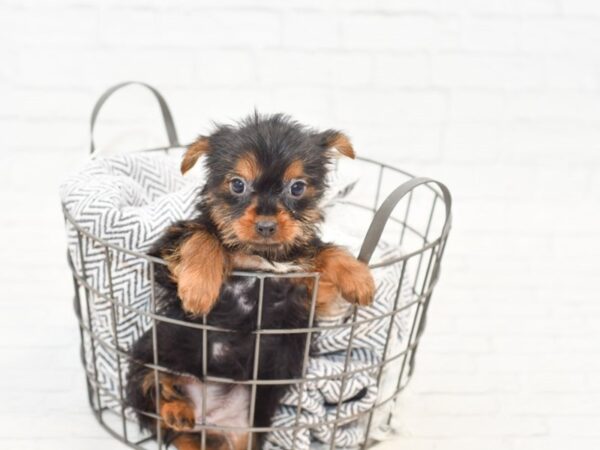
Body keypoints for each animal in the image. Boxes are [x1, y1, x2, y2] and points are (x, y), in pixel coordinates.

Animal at [126, 114, 376, 450]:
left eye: (297, 187)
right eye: (238, 184)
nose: (267, 225)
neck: (259, 254)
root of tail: (206, 419)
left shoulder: (305, 289)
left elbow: (321, 252)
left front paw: (357, 276)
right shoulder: (165, 254)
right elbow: (202, 235)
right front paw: (199, 288)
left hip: (246, 424)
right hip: (149, 353)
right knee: (152, 388)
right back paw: (176, 407)